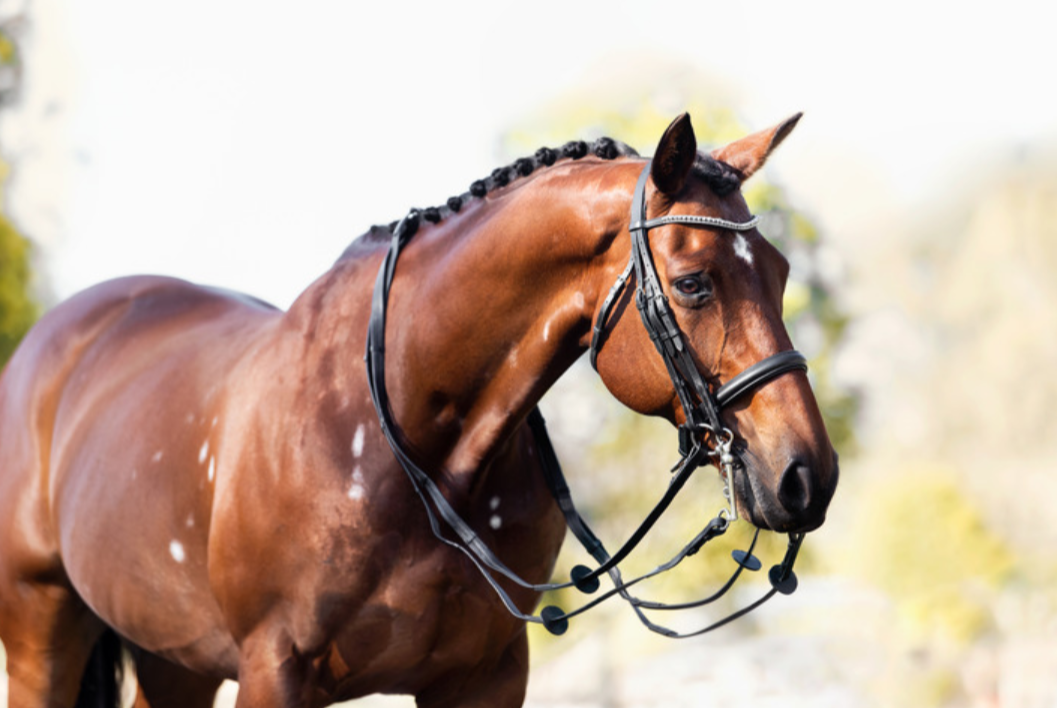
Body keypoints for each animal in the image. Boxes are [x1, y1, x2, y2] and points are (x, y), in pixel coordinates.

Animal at [2, 113, 841, 705]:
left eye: (780, 271)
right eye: (694, 282)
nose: (807, 476)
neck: (404, 451)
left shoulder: (483, 679)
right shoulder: (274, 671)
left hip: (172, 658)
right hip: (41, 629)